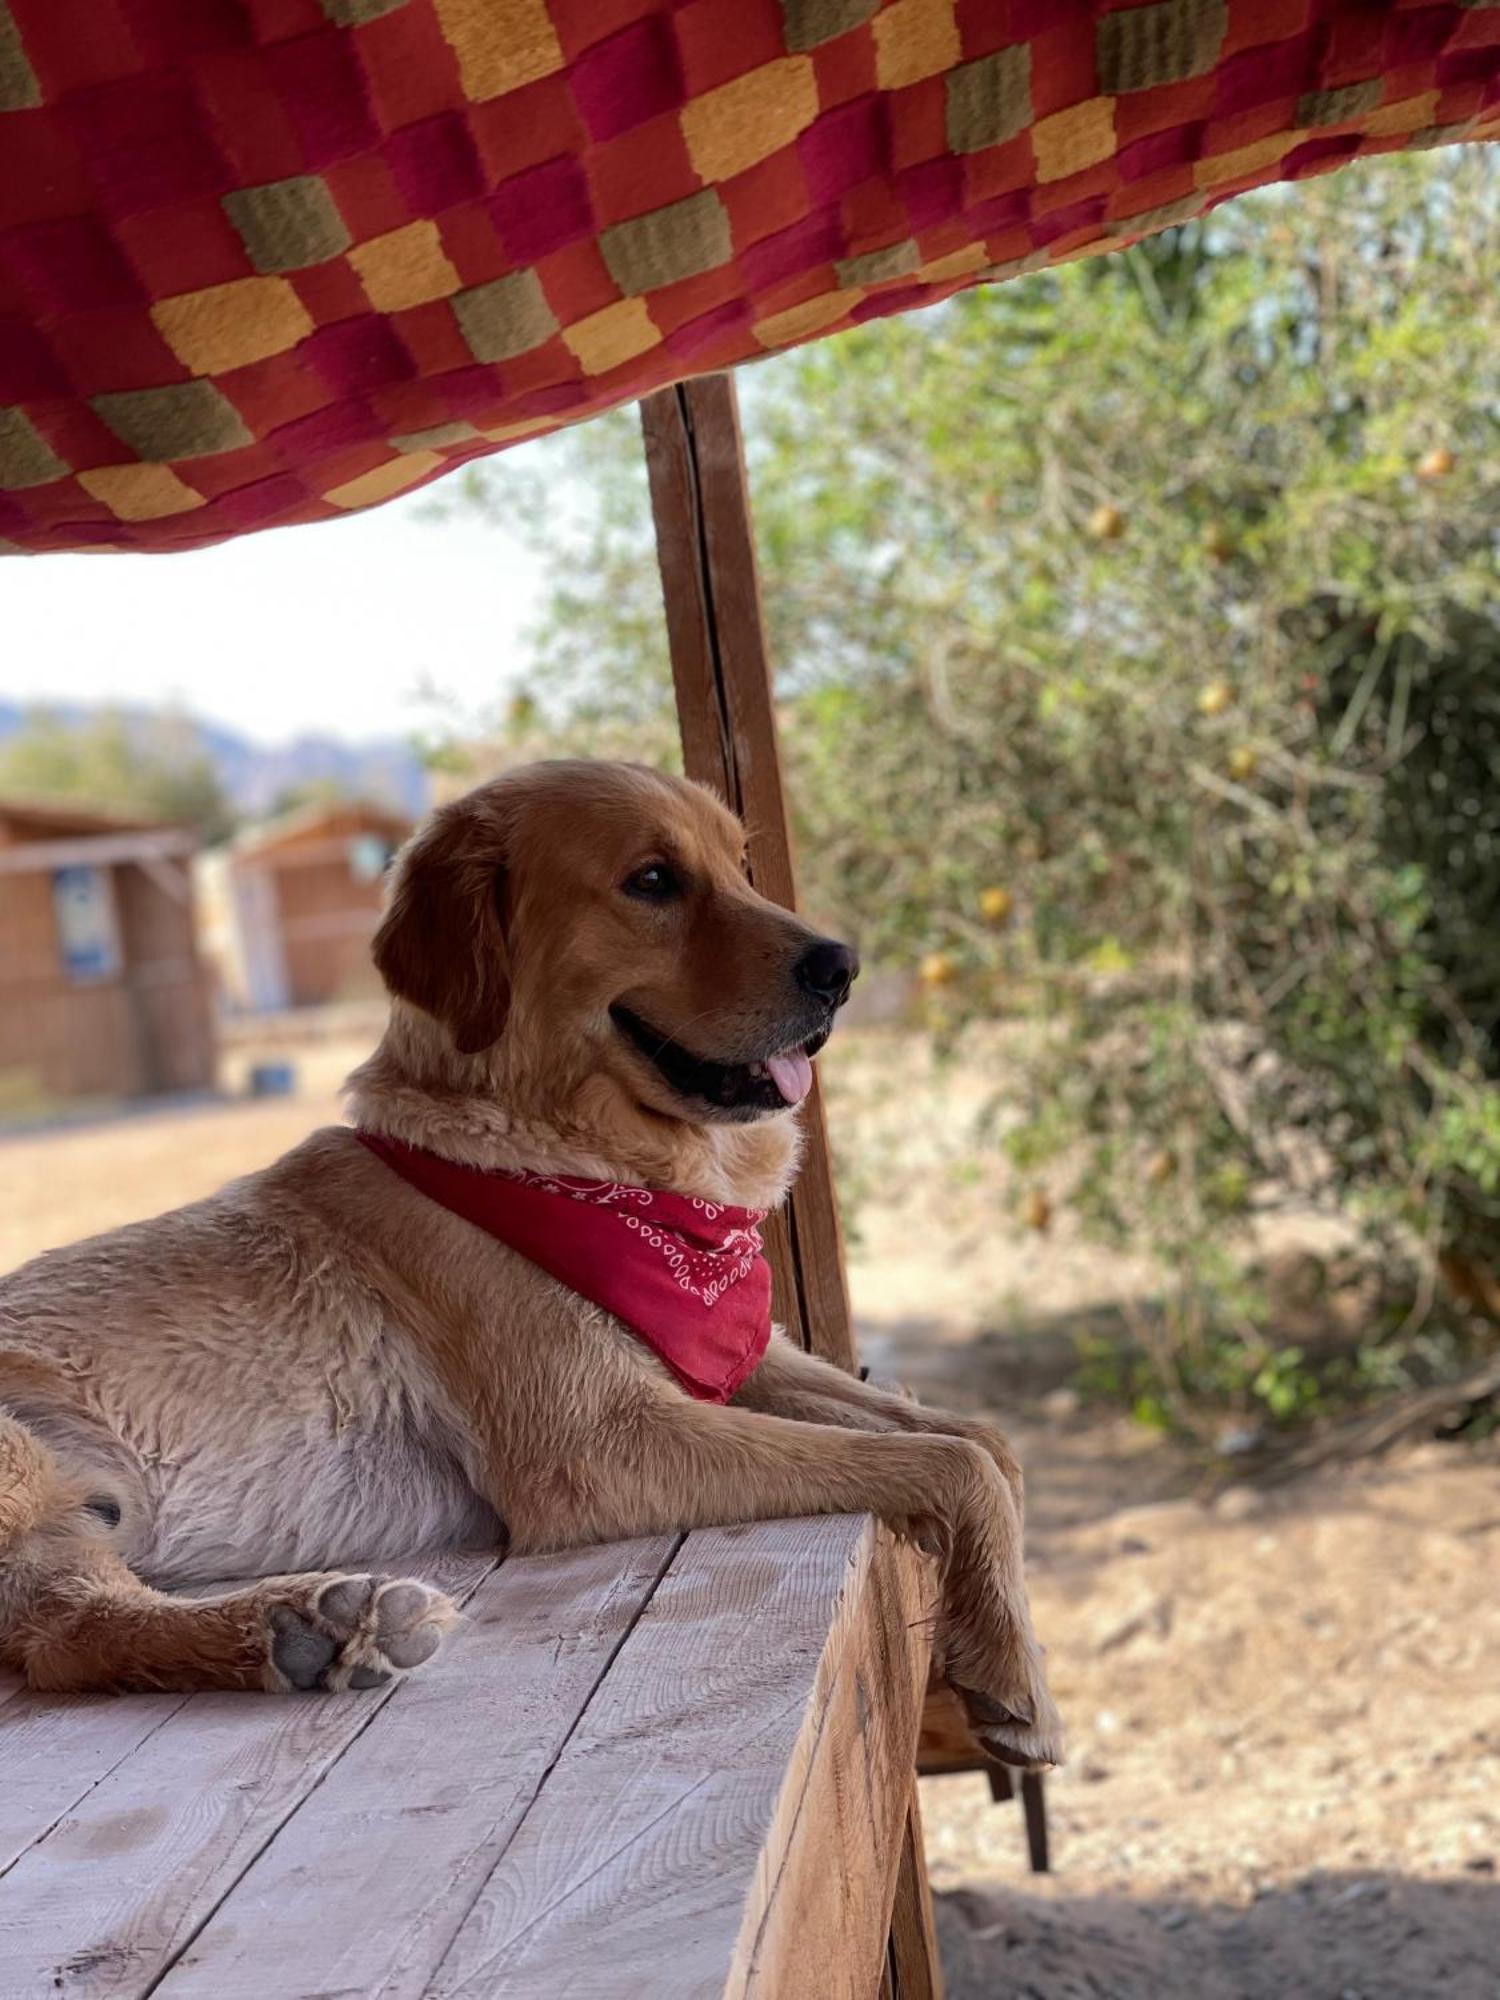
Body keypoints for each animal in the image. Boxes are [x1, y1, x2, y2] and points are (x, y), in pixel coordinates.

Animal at [0, 760, 1072, 1768]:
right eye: (652, 880)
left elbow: (983, 1441)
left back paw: (302, 1631)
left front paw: (998, 1638)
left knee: (58, 1626)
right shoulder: (599, 1445)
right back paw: (300, 1622)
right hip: (23, 1457)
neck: (579, 1172)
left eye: (741, 862)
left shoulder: (742, 1360)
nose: (843, 967)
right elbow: (951, 1463)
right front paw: (1013, 1680)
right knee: (57, 1637)